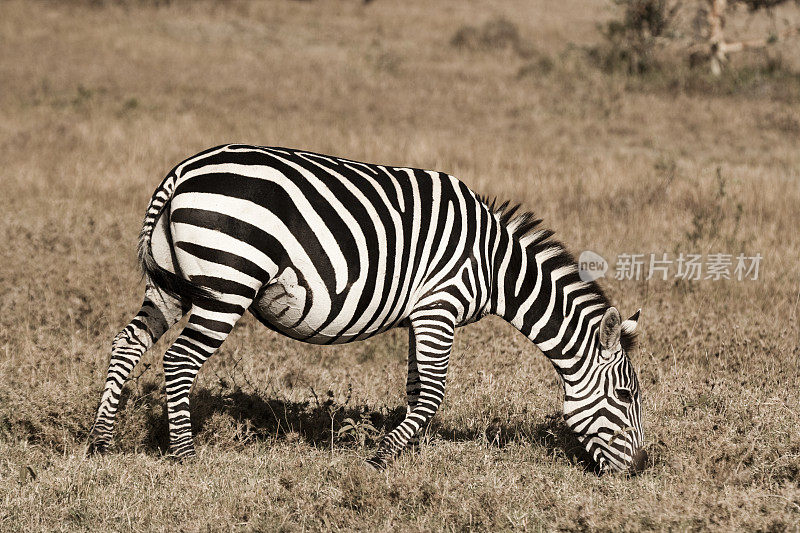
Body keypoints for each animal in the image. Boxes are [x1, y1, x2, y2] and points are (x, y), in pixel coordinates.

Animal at [87, 143, 648, 472]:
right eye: (626, 397)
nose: (643, 467)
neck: (494, 266)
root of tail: (181, 172)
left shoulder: (421, 315)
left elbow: (416, 388)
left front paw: (410, 453)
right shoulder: (440, 306)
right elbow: (433, 393)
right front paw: (379, 459)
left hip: (172, 285)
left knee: (128, 344)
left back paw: (100, 443)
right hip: (227, 284)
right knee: (180, 360)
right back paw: (186, 457)